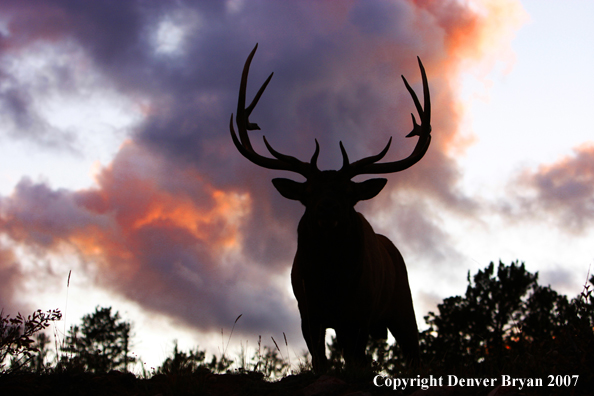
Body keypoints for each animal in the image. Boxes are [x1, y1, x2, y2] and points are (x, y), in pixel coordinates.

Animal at [229, 44, 428, 372]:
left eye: (349, 193)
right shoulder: (307, 311)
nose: (327, 210)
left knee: (414, 353)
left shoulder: (361, 311)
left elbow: (355, 361)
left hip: (403, 304)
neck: (331, 281)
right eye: (308, 193)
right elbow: (320, 361)